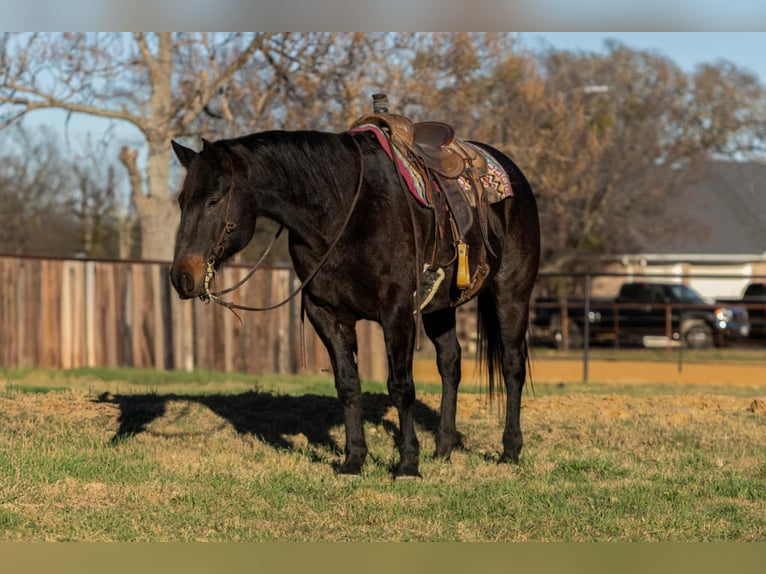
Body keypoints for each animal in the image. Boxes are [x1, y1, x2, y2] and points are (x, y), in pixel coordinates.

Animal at [169, 124, 540, 478]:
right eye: (182, 201)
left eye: (215, 200)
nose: (182, 277)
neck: (343, 211)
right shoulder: (326, 313)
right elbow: (348, 385)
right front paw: (354, 460)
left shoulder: (397, 310)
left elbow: (401, 386)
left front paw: (407, 465)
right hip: (440, 309)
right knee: (450, 364)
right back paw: (443, 449)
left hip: (511, 295)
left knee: (512, 366)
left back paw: (510, 451)